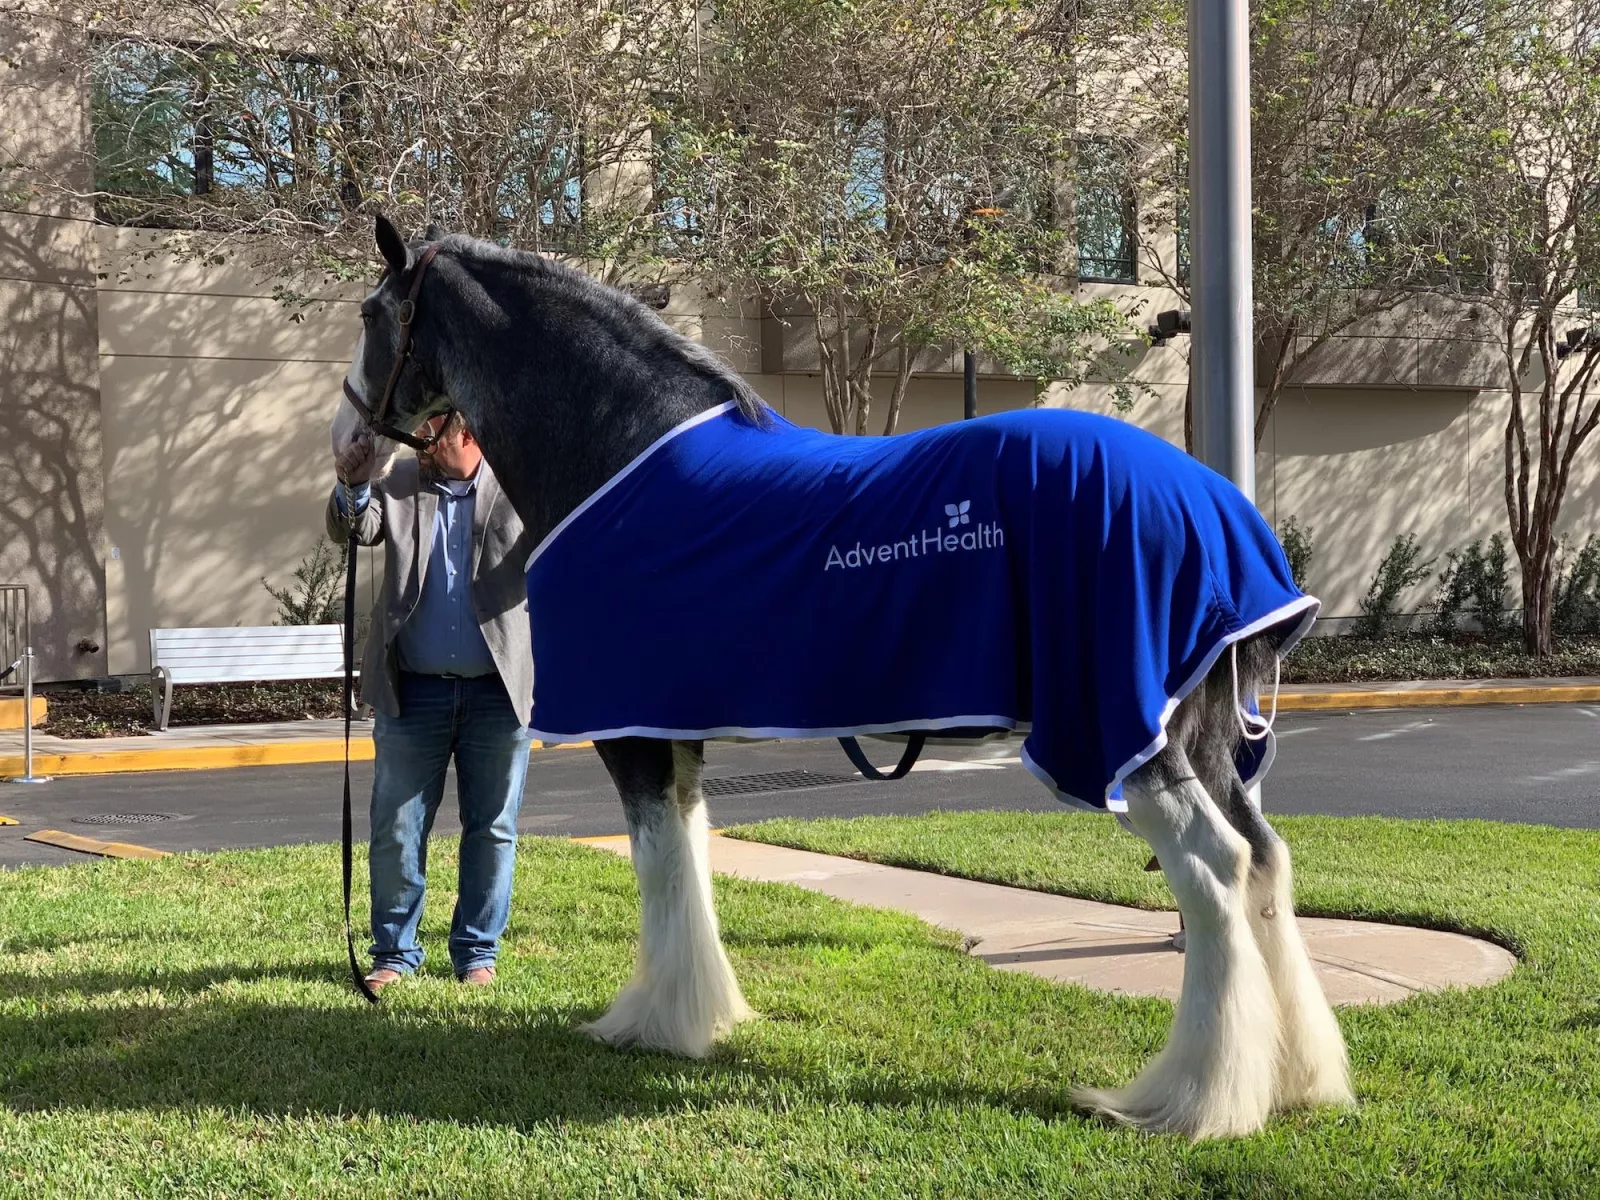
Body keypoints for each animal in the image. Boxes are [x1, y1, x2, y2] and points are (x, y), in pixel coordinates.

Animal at [334, 211, 1350, 1139]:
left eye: (371, 313)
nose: (347, 444)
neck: (620, 456)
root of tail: (1215, 506)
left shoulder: (631, 733)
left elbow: (659, 866)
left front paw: (654, 1024)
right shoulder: (676, 730)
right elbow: (691, 857)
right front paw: (705, 1015)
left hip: (1129, 736)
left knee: (1215, 872)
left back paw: (1192, 1102)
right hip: (1204, 739)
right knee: (1265, 859)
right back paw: (1297, 1081)